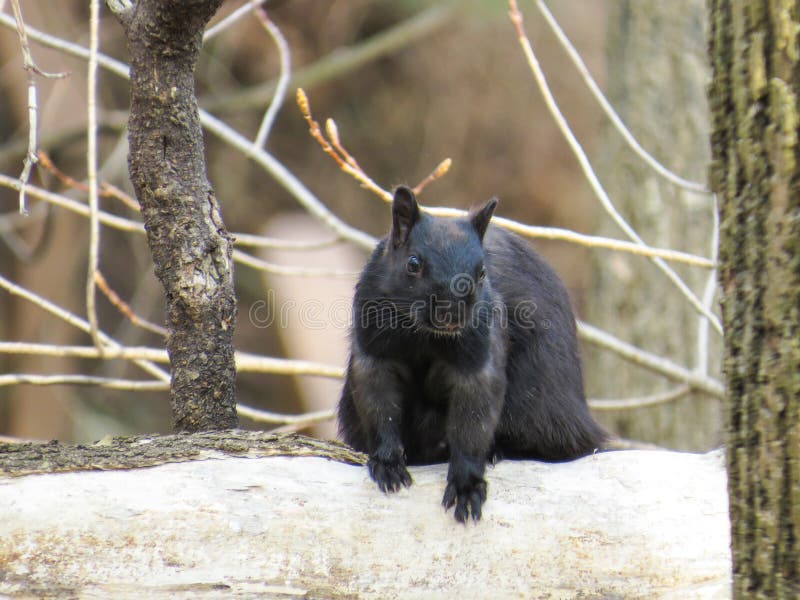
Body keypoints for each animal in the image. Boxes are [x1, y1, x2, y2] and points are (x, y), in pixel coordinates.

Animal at [338, 186, 608, 520]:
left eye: (481, 273)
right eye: (413, 263)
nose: (452, 315)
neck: (425, 336)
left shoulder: (479, 362)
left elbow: (473, 421)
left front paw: (467, 483)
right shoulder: (374, 352)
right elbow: (380, 406)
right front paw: (387, 462)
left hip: (537, 404)